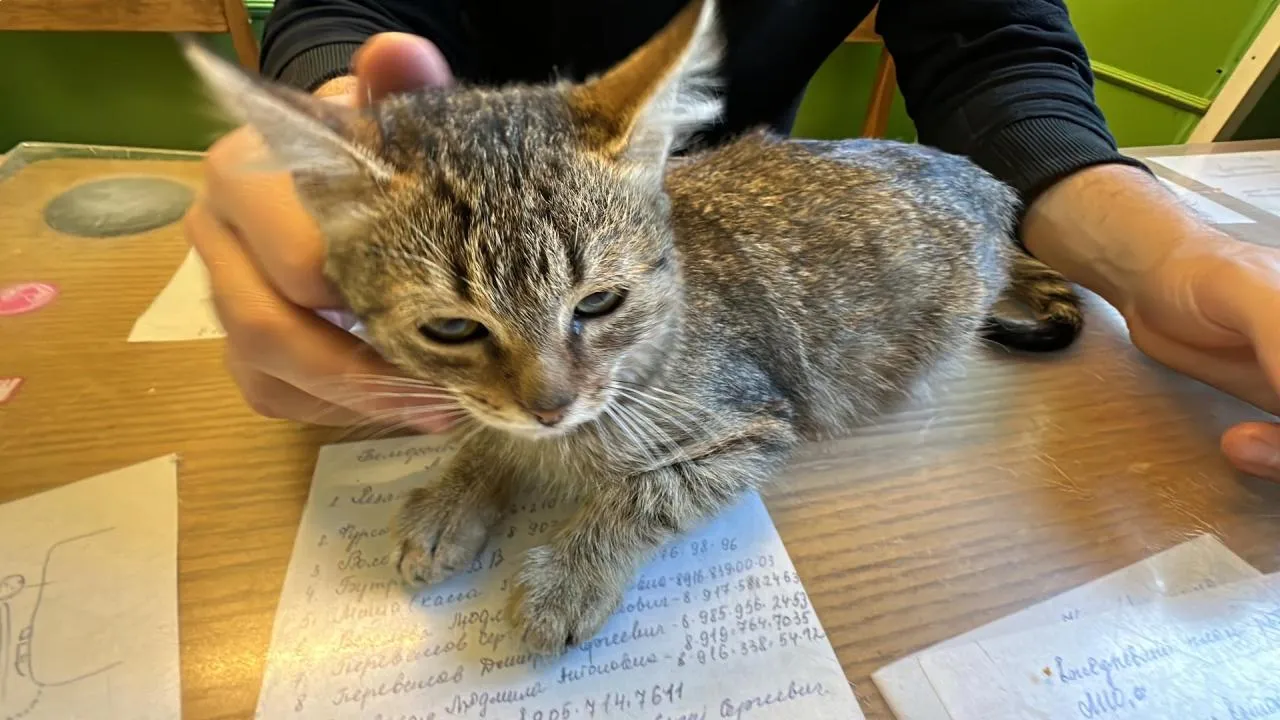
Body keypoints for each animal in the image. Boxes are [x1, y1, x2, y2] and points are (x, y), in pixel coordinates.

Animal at [180, 0, 1080, 653]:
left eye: (597, 304)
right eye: (453, 331)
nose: (549, 405)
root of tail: (986, 186)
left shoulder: (755, 421)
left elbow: (654, 490)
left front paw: (572, 573)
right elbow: (489, 431)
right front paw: (457, 490)